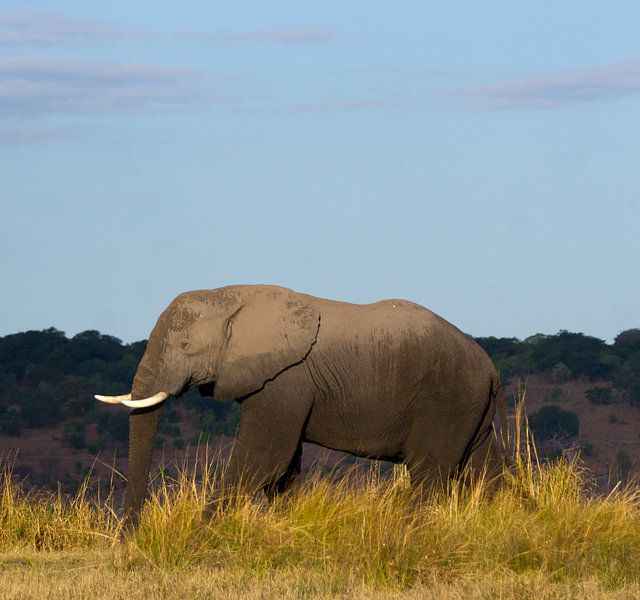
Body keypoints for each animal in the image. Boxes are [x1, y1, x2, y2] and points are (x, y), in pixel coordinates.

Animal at [96, 284, 504, 528]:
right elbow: (284, 464)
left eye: (184, 346)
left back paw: (410, 528)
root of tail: (490, 367)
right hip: (471, 406)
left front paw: (201, 532)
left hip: (447, 398)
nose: (130, 538)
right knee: (482, 467)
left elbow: (264, 455)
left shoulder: (285, 380)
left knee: (428, 471)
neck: (231, 295)